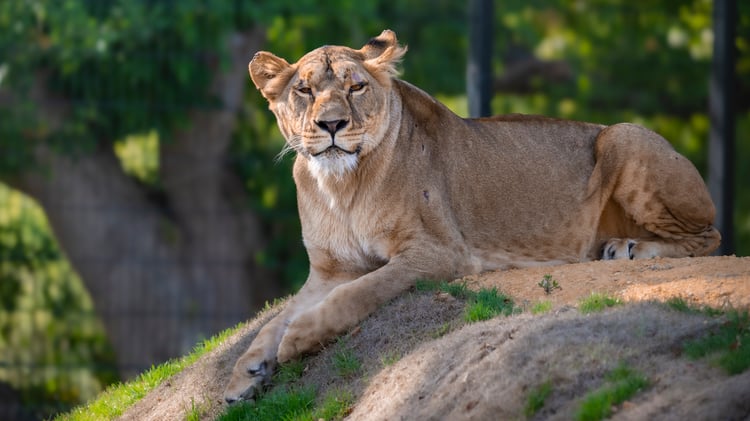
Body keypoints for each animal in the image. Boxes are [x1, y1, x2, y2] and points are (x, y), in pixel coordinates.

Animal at [224, 30, 720, 402]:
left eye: (356, 87)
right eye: (304, 90)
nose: (331, 125)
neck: (340, 188)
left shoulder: (438, 253)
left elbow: (360, 294)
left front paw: (298, 339)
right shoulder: (329, 270)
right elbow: (274, 319)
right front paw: (245, 373)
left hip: (622, 135)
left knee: (708, 238)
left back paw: (629, 248)